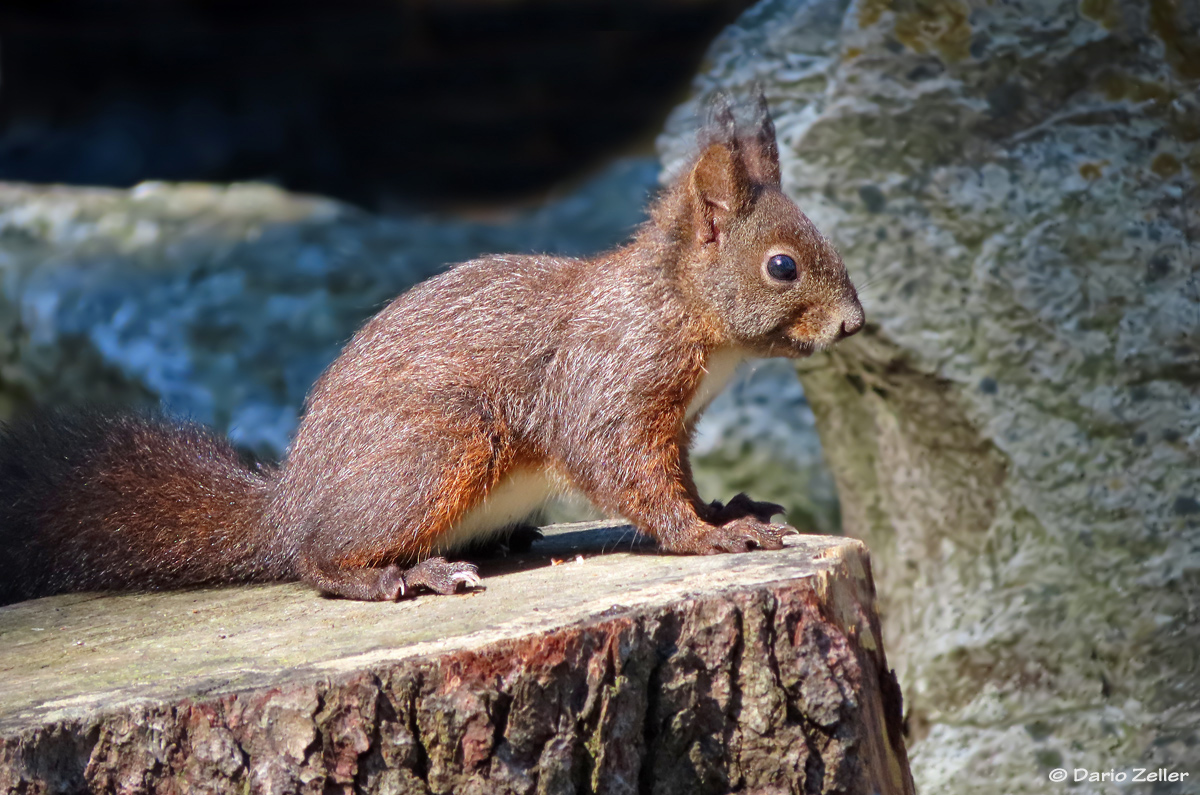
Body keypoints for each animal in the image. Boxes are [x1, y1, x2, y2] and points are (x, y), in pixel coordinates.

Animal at [0, 96, 864, 607]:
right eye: (781, 266)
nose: (854, 323)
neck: (681, 306)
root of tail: (288, 504)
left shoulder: (676, 422)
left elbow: (675, 476)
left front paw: (726, 509)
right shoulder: (612, 383)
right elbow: (629, 474)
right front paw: (712, 536)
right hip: (439, 449)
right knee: (317, 559)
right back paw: (403, 572)